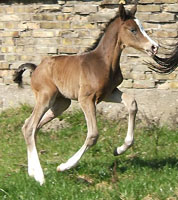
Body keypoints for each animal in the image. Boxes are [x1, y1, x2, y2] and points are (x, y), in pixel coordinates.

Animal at [13, 3, 159, 184]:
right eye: (133, 30)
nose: (154, 47)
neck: (104, 62)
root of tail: (35, 68)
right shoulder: (86, 99)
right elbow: (93, 135)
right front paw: (64, 166)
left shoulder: (109, 93)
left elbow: (132, 103)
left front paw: (119, 149)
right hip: (45, 97)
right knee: (29, 127)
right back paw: (40, 177)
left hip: (61, 103)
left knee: (32, 127)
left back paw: (32, 172)